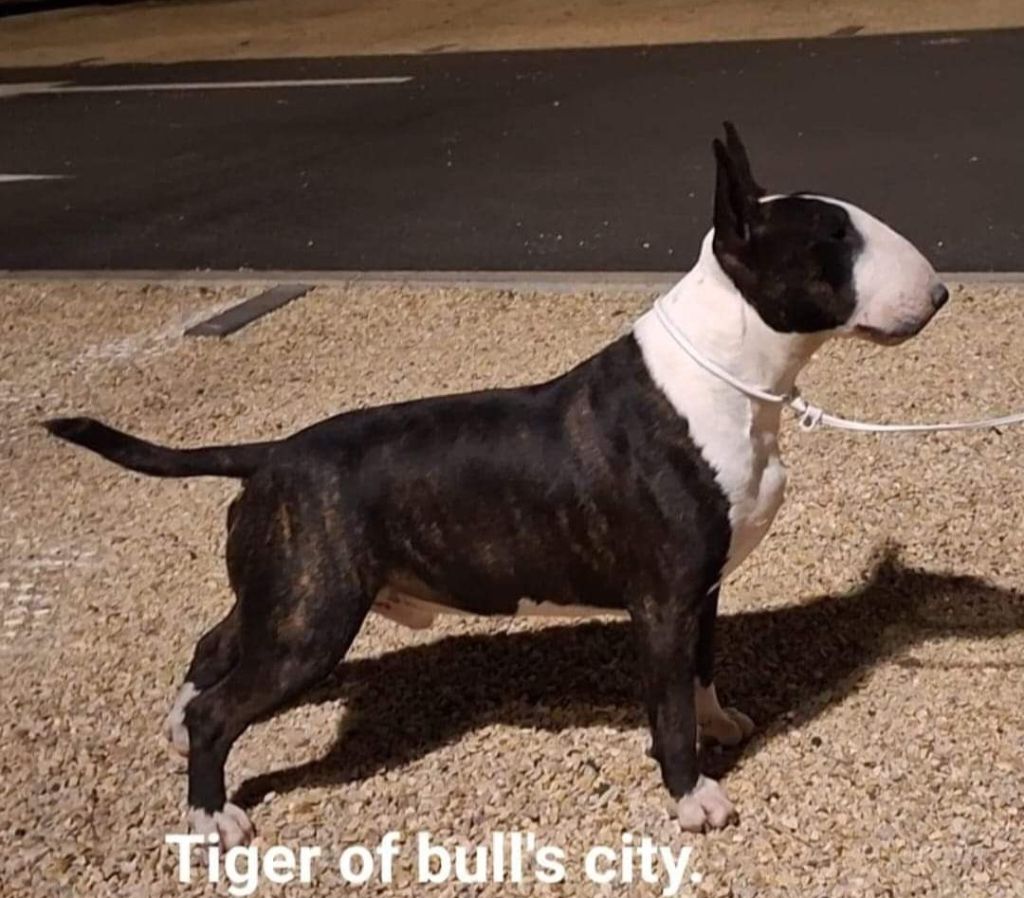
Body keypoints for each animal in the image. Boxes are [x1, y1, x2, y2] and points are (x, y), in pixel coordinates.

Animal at [46, 122, 942, 843]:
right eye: (836, 240)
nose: (938, 293)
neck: (726, 374)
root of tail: (269, 454)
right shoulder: (662, 601)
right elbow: (668, 705)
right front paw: (694, 799)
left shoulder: (705, 589)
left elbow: (702, 672)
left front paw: (721, 722)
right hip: (312, 621)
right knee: (222, 706)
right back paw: (211, 813)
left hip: (283, 595)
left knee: (215, 641)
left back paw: (175, 730)